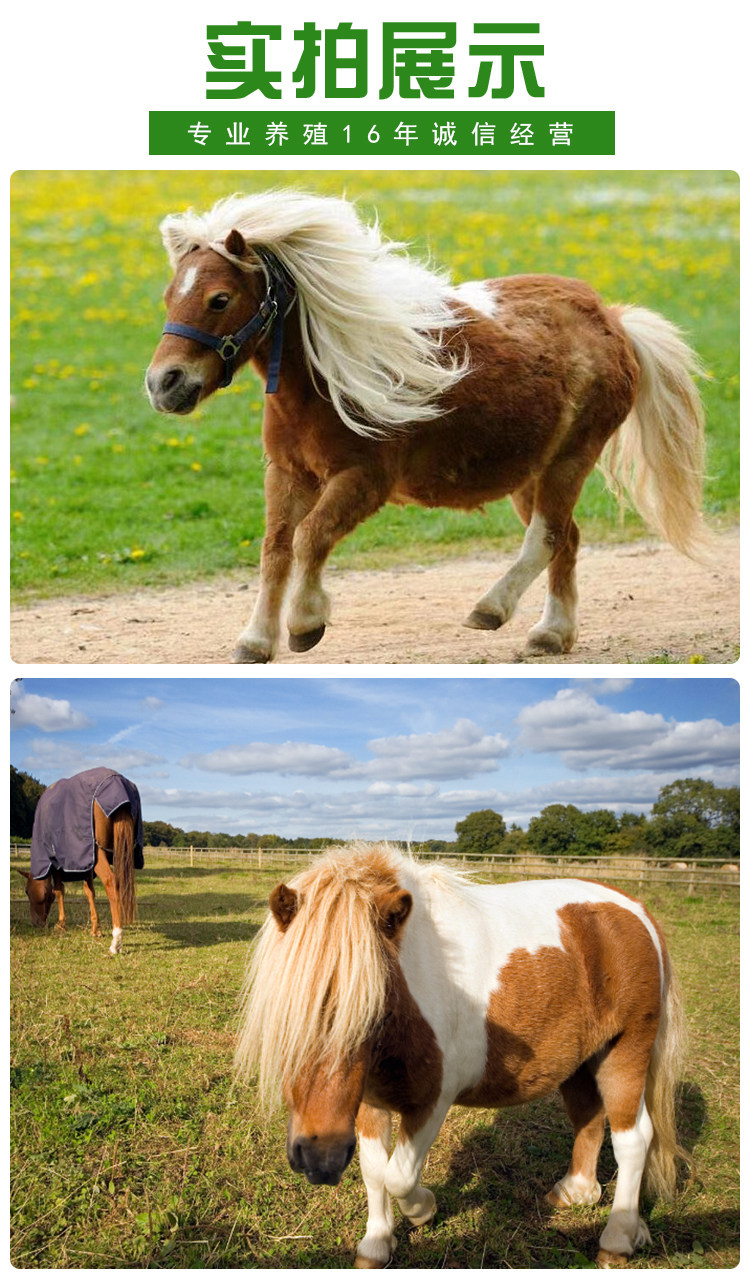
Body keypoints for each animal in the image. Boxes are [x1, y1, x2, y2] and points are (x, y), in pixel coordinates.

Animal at [22, 767, 144, 954]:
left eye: (27, 892)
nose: (36, 924)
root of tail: (118, 782)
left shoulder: (57, 863)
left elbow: (59, 890)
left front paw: (61, 924)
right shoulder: (86, 863)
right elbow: (89, 892)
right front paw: (95, 929)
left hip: (99, 852)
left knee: (111, 882)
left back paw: (116, 940)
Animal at [146, 190, 708, 664]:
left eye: (220, 298)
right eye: (169, 294)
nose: (163, 383)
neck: (323, 380)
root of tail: (613, 319)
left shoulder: (364, 479)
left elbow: (311, 538)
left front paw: (306, 622)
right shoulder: (287, 474)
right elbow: (276, 550)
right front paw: (256, 640)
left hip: (572, 459)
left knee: (546, 537)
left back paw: (492, 609)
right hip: (531, 473)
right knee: (566, 538)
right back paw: (553, 634)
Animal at [236, 844, 689, 1269]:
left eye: (376, 1010)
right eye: (287, 1009)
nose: (321, 1159)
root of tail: (637, 910)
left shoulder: (432, 1101)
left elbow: (398, 1177)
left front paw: (424, 1210)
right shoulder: (368, 1102)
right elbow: (374, 1172)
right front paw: (376, 1245)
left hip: (626, 1051)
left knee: (634, 1140)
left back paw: (618, 1238)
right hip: (580, 1062)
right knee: (589, 1118)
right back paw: (576, 1192)